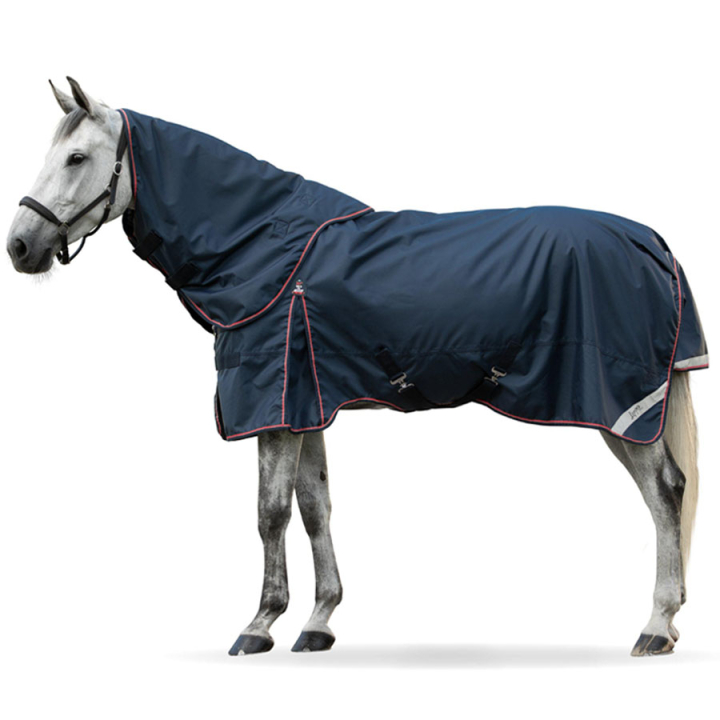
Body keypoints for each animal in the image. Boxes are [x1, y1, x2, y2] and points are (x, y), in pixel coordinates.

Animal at [6, 78, 708, 657]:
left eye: (76, 158)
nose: (19, 246)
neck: (260, 249)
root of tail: (653, 243)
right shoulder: (308, 401)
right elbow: (315, 506)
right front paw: (318, 622)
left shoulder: (272, 406)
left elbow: (269, 513)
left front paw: (259, 625)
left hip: (621, 406)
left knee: (665, 491)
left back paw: (655, 625)